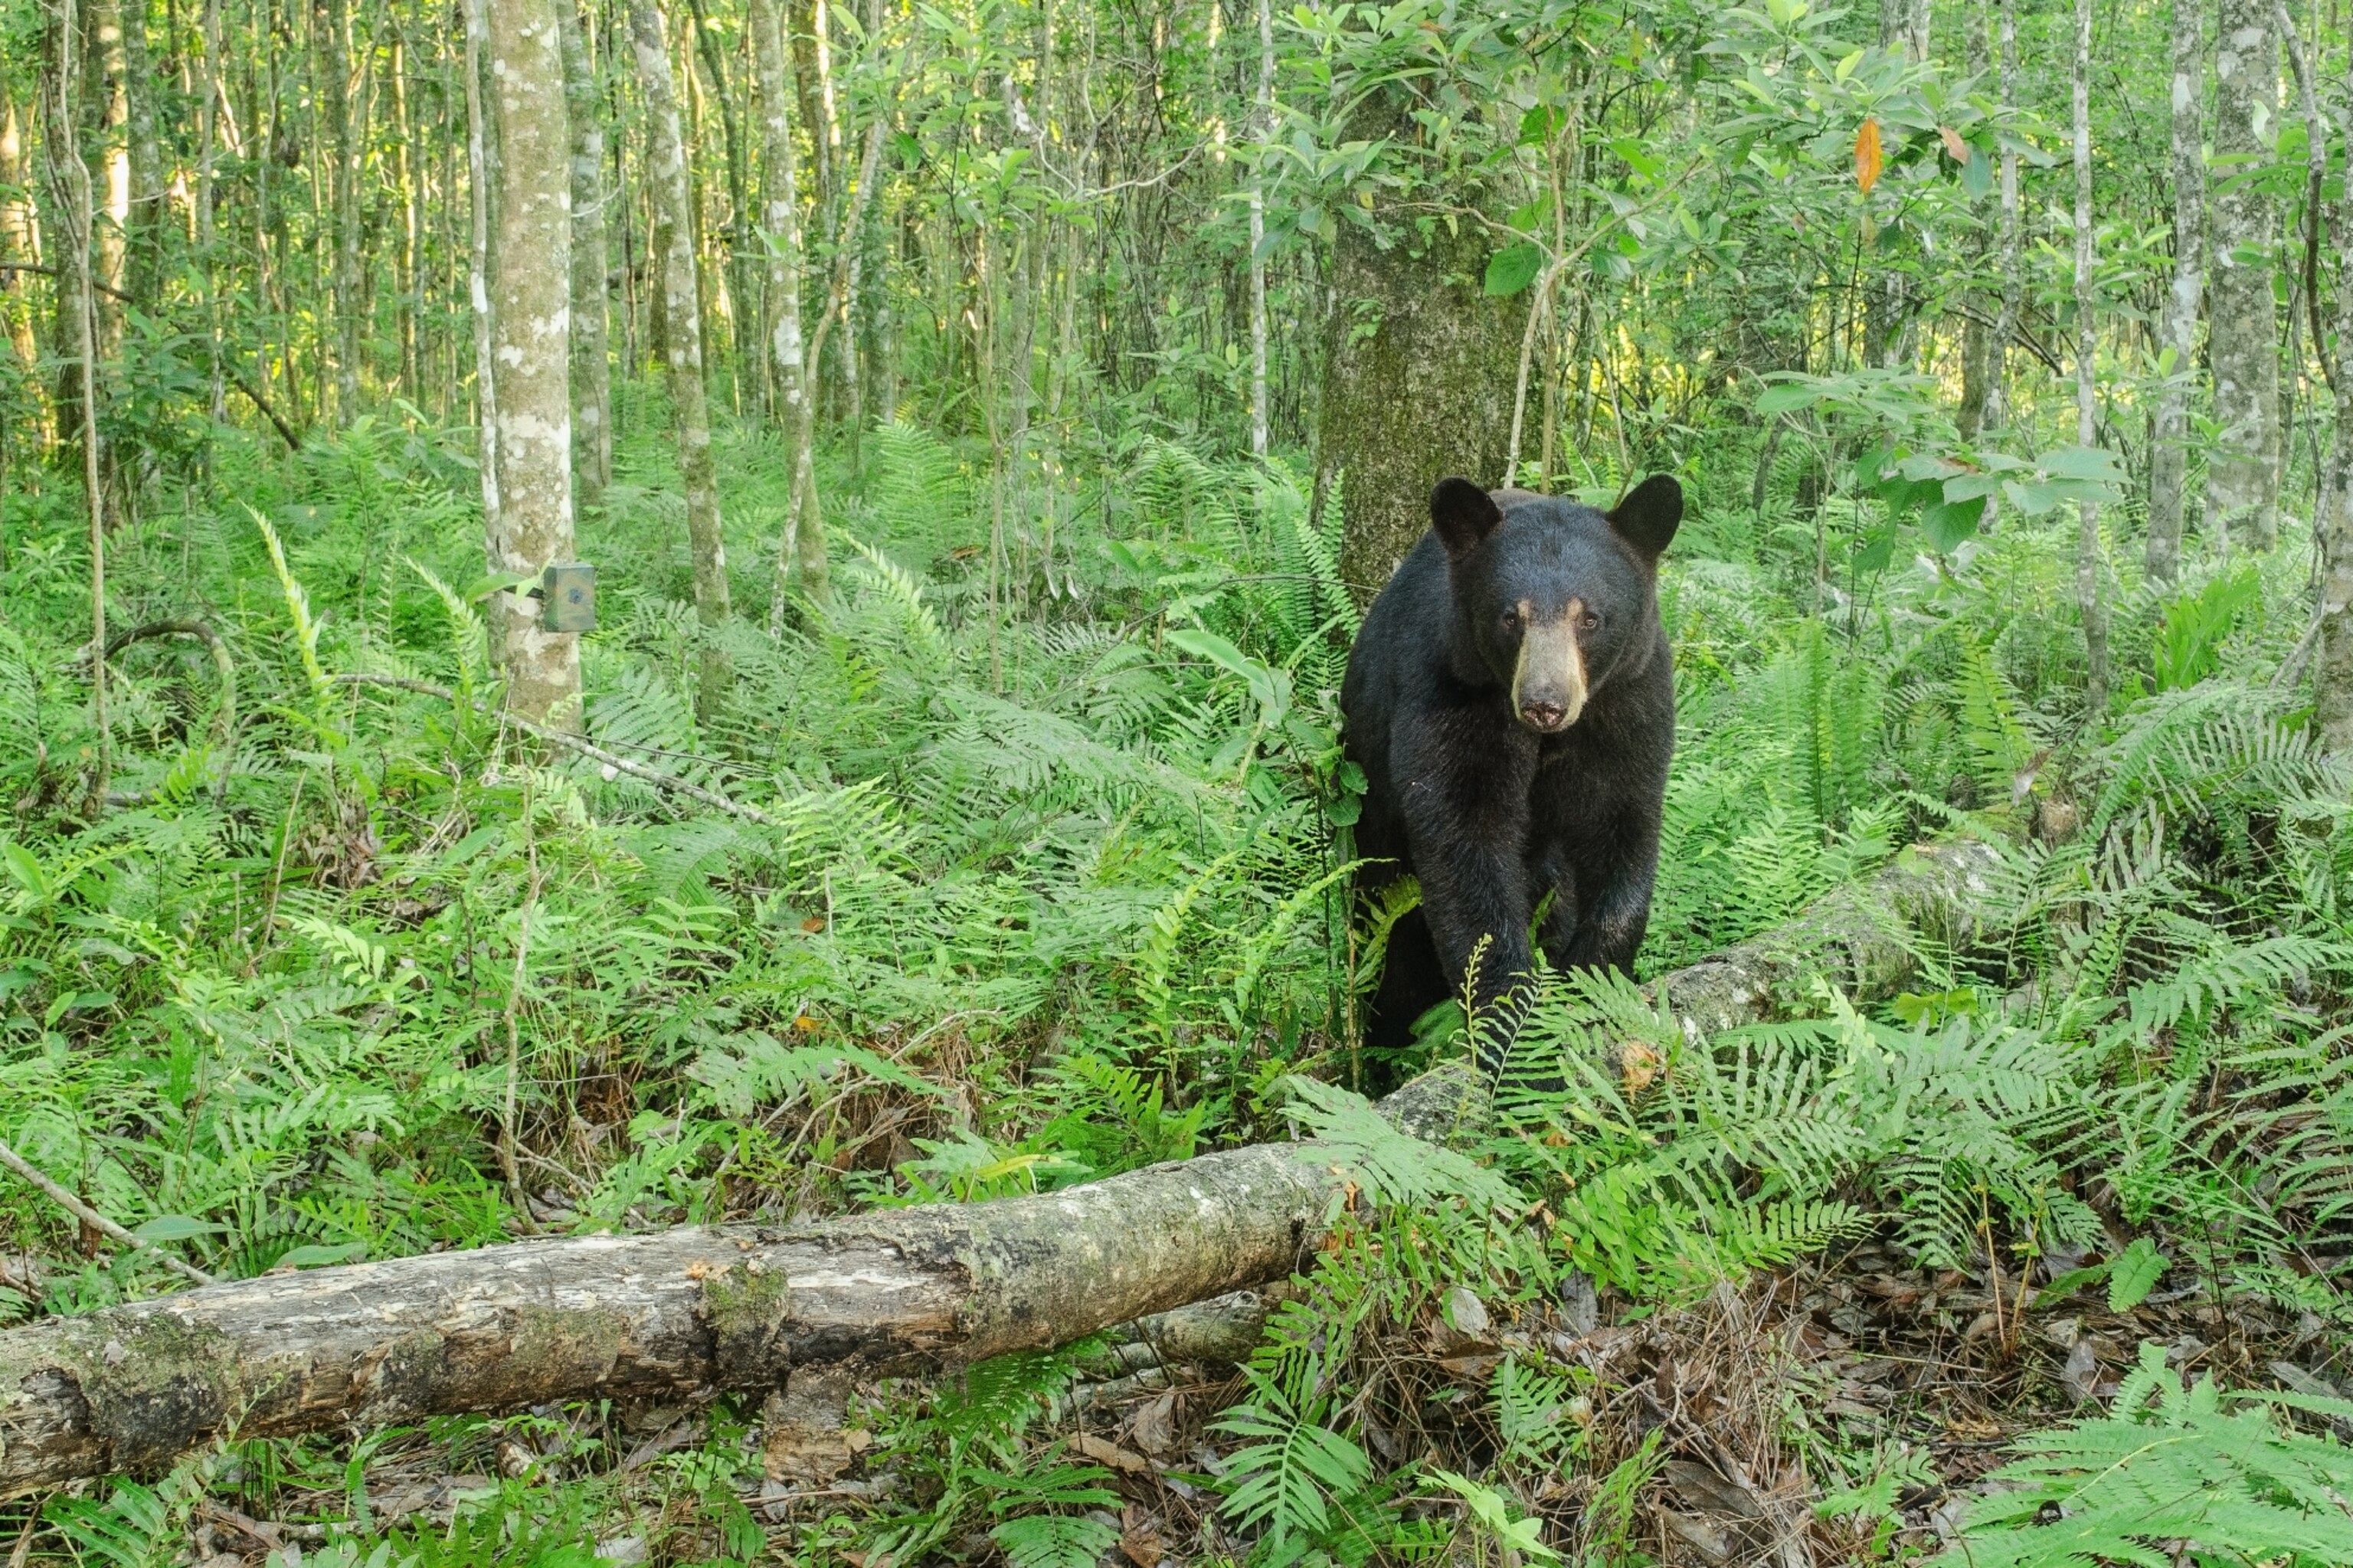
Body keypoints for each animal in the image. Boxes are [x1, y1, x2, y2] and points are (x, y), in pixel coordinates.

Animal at [1339, 473, 1682, 1078]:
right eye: (1510, 617)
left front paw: (1591, 980)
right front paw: (1517, 1024)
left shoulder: (1629, 702)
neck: (1550, 741)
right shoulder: (1451, 690)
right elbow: (1466, 841)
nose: (1545, 703)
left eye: (1590, 617)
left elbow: (1622, 823)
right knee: (1396, 950)